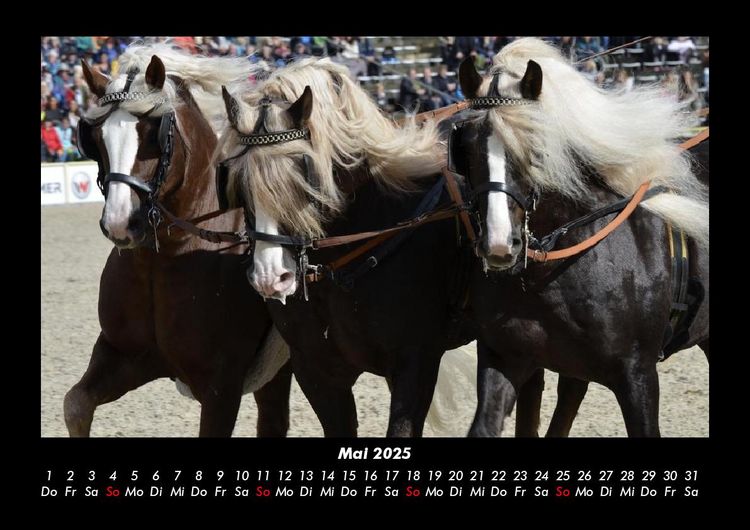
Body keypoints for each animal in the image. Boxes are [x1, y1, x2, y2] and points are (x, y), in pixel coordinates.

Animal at [63, 44, 292, 437]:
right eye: (96, 137)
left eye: (153, 131)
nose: (121, 223)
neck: (163, 261)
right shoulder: (124, 356)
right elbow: (75, 405)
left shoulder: (221, 387)